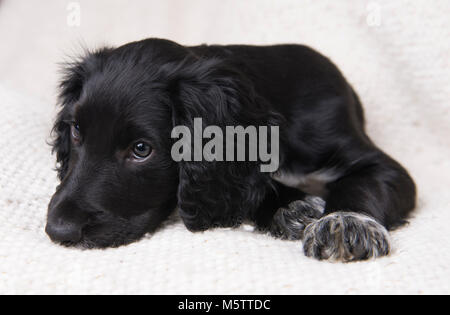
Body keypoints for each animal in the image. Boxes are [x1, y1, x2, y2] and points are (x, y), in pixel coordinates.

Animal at [45, 38, 414, 262]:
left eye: (140, 149)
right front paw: (292, 206)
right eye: (76, 131)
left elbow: (361, 183)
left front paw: (346, 224)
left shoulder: (382, 166)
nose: (58, 231)